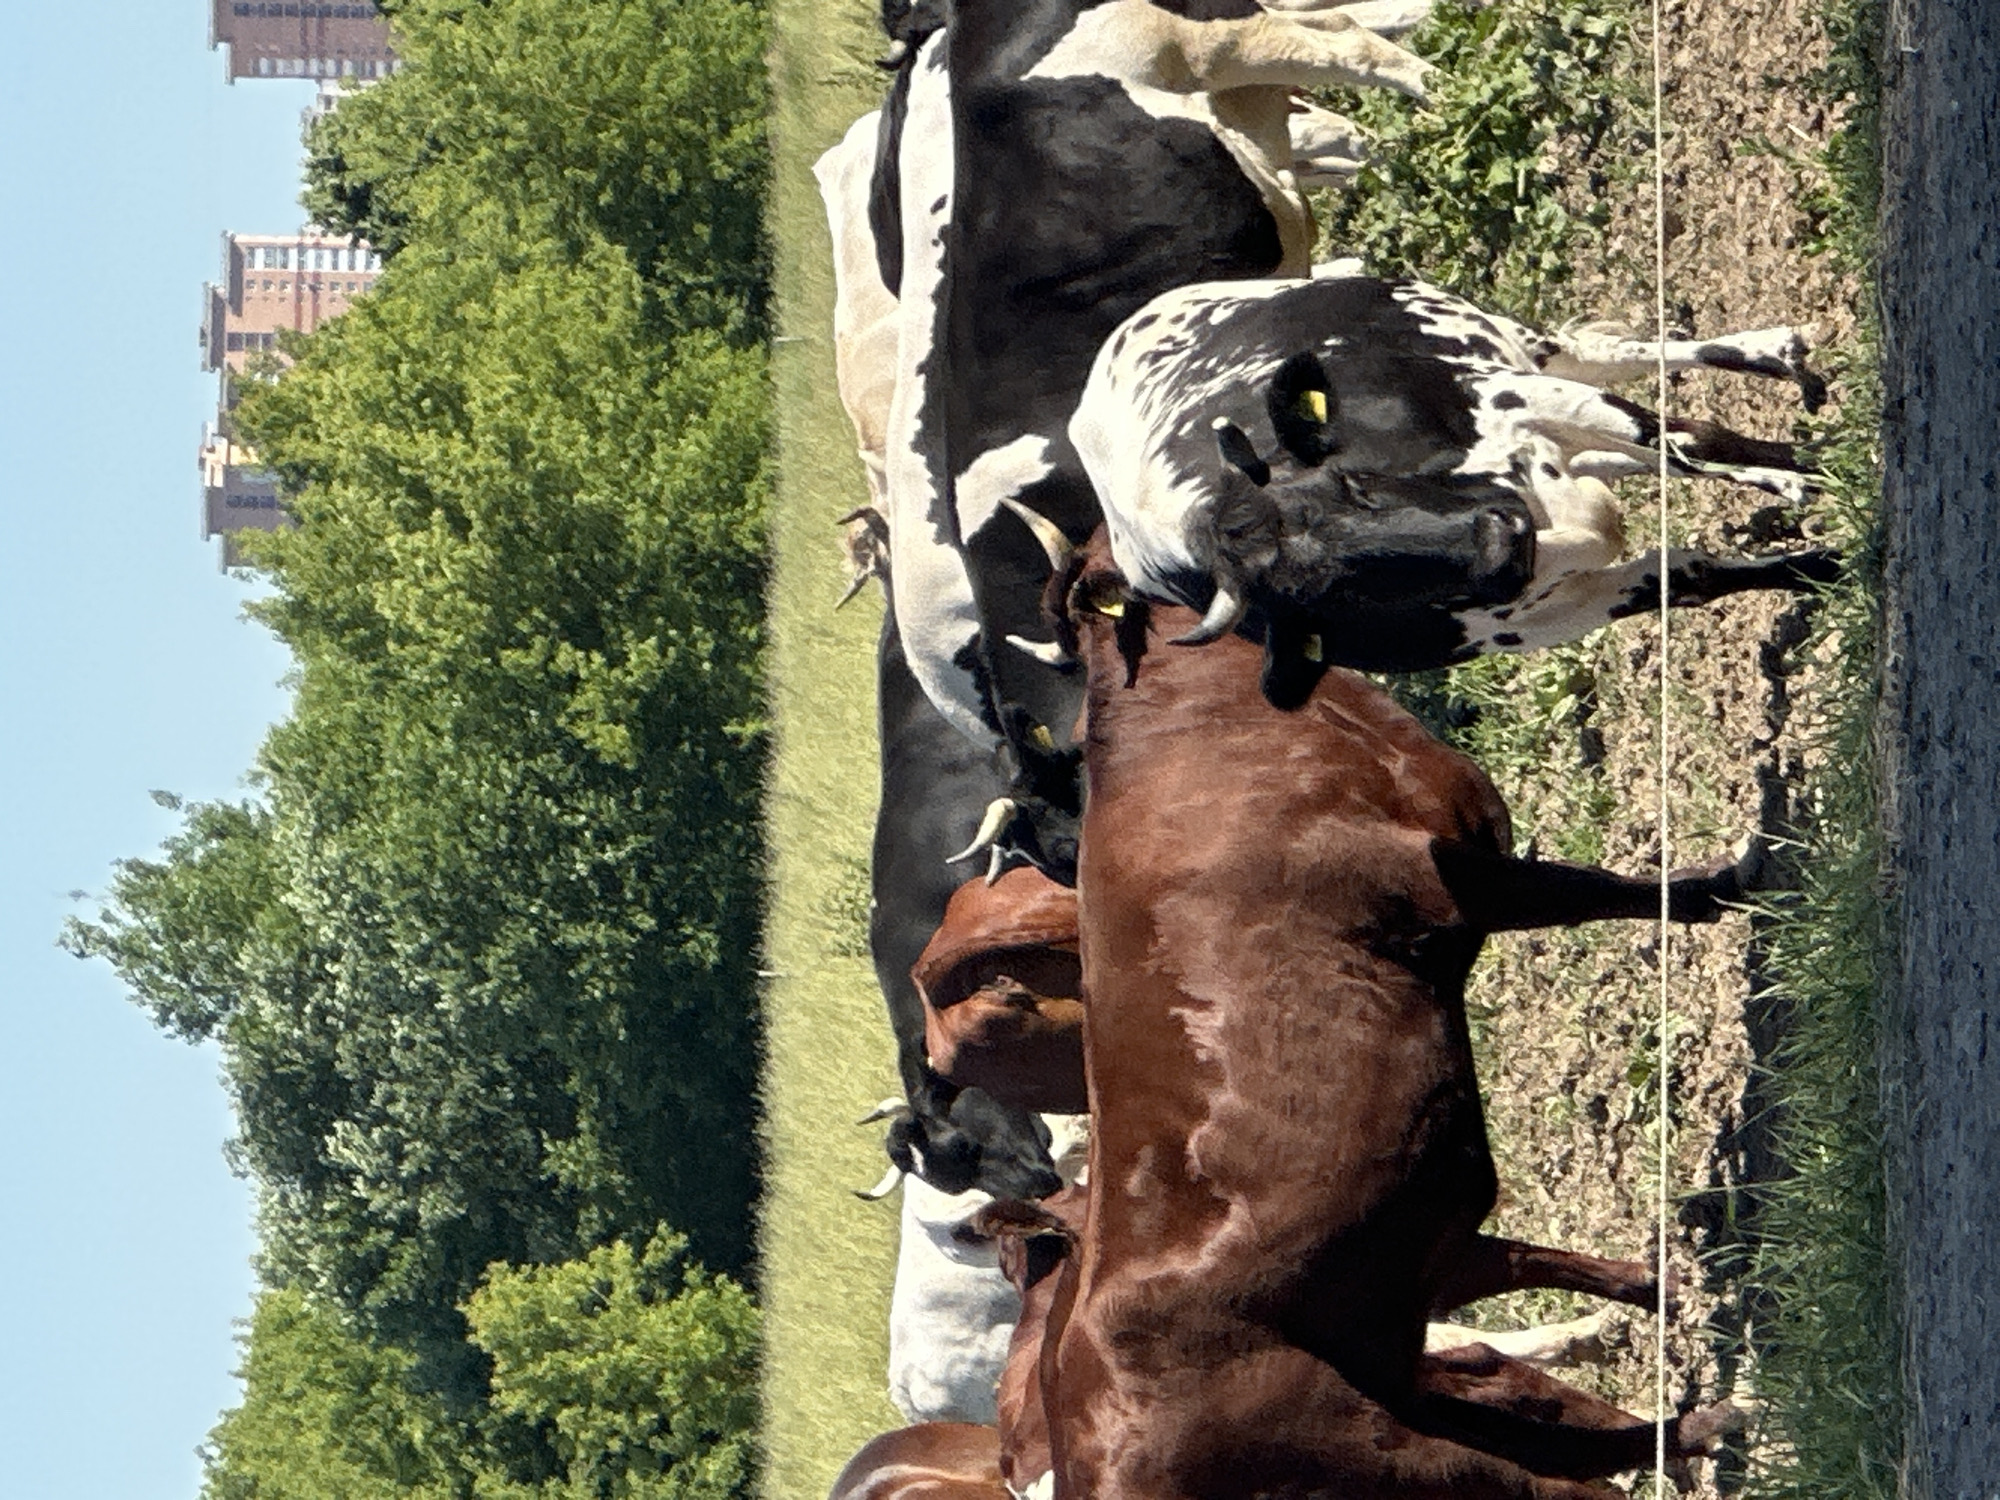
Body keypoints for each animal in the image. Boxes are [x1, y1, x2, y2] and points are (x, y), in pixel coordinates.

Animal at [1013, 533, 1757, 1495]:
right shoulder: (1446, 887)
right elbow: (1596, 892)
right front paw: (1727, 883)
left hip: (1415, 1355)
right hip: (1385, 1446)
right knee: (1549, 1471)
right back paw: (1709, 1418)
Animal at [1064, 272, 1840, 703]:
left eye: (1352, 485)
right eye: (1340, 593)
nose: (1502, 541)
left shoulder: (1502, 396)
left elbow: (1690, 444)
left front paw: (1816, 470)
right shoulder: (1550, 614)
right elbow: (1691, 574)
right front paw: (1823, 567)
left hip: (1501, 340)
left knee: (1616, 359)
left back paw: (1778, 357)